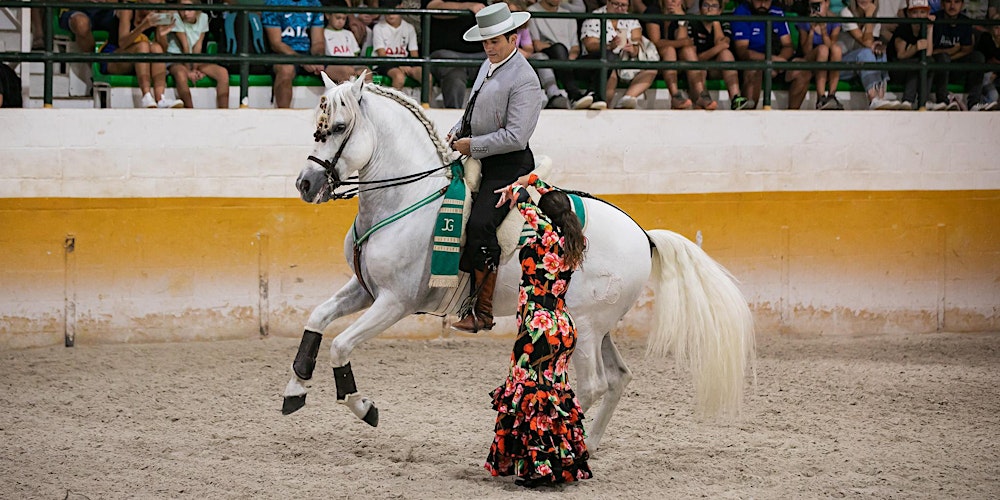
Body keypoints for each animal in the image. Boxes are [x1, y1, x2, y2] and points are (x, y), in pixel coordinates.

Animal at [282, 73, 756, 451]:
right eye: (317, 129)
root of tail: (643, 235)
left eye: (338, 127)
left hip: (586, 326)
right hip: (597, 325)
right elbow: (317, 319)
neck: (407, 198)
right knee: (620, 378)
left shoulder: (395, 302)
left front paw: (364, 406)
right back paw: (591, 445)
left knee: (594, 385)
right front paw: (295, 388)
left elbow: (341, 344)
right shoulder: (365, 289)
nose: (305, 183)